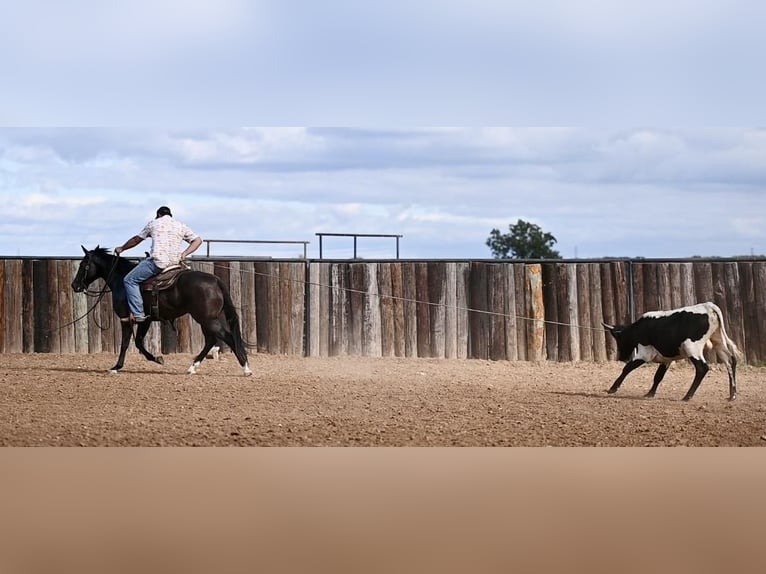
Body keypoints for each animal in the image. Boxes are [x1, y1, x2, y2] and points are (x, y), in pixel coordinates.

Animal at [70, 246, 254, 378]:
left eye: (83, 265)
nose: (75, 285)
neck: (121, 280)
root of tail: (215, 280)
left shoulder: (126, 319)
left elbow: (126, 344)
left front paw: (116, 367)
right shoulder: (145, 320)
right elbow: (138, 342)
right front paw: (158, 358)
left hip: (207, 319)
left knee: (226, 337)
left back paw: (245, 368)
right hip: (210, 319)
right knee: (211, 340)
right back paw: (192, 367)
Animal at [608, 304, 744, 402]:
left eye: (619, 339)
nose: (621, 357)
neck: (640, 328)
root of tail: (708, 306)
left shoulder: (644, 354)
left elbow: (627, 368)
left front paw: (613, 388)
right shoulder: (666, 360)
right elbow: (658, 376)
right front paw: (650, 393)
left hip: (692, 348)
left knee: (702, 368)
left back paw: (687, 396)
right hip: (718, 342)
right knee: (731, 361)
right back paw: (732, 395)